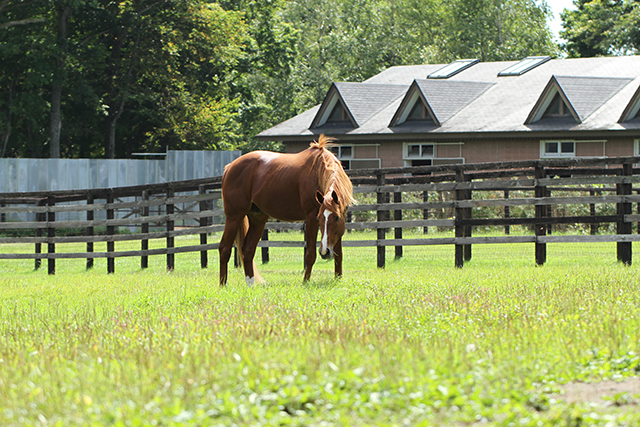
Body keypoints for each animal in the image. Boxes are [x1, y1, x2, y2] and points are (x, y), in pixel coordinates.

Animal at [218, 135, 352, 286]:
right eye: (319, 218)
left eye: (336, 217)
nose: (325, 252)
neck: (318, 171)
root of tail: (230, 167)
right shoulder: (311, 218)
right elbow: (310, 254)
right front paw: (305, 282)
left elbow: (338, 254)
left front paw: (338, 279)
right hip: (234, 216)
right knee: (224, 248)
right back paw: (223, 286)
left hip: (258, 219)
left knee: (248, 250)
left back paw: (251, 285)